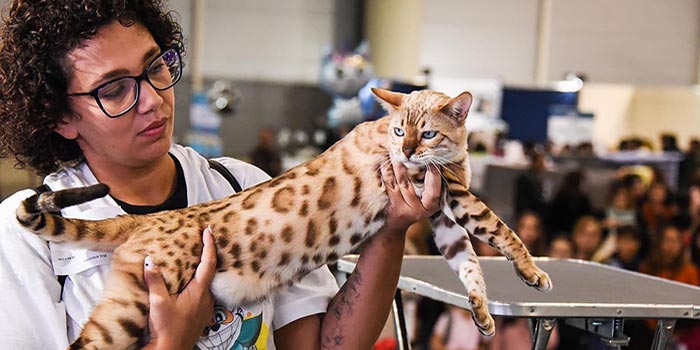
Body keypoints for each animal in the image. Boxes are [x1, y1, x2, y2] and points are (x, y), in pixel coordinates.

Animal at [15, 88, 552, 350]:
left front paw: (483, 314)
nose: (405, 151)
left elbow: (468, 264)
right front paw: (534, 273)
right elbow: (501, 230)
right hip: (136, 306)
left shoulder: (440, 215)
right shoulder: (452, 195)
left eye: (428, 133)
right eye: (401, 131)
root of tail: (153, 220)